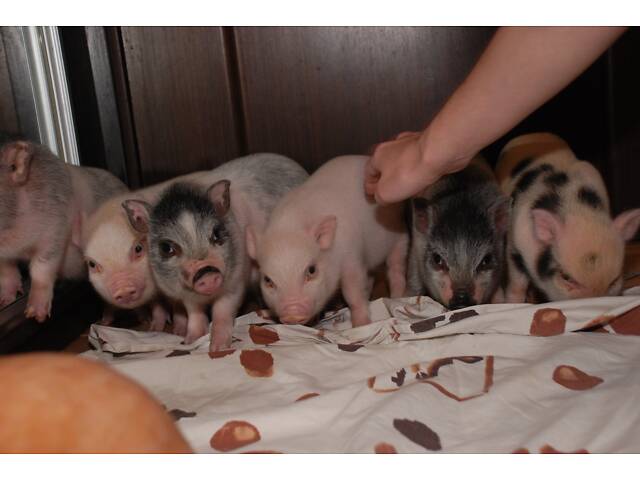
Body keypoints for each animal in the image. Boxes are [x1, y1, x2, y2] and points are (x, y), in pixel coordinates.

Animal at [0, 139, 126, 321]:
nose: (36, 315)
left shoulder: (55, 229)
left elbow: (41, 266)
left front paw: (36, 315)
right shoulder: (4, 255)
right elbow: (6, 273)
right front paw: (3, 302)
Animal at [121, 154, 309, 349]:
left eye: (217, 234)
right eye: (167, 248)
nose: (207, 272)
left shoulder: (236, 281)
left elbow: (222, 312)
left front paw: (218, 348)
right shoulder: (186, 295)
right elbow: (194, 314)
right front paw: (189, 341)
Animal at [246, 155, 409, 327]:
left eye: (311, 270)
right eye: (267, 280)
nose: (292, 315)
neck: (291, 225)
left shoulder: (352, 257)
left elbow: (353, 291)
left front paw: (361, 325)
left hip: (400, 236)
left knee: (395, 269)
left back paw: (397, 297)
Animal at [496, 132, 640, 302]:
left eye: (614, 281)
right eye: (566, 277)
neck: (576, 209)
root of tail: (534, 134)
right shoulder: (515, 241)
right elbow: (517, 283)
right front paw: (513, 303)